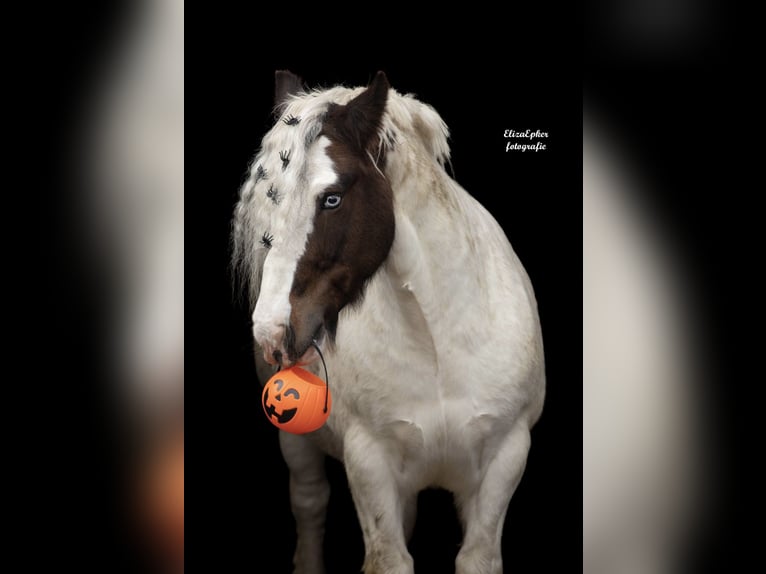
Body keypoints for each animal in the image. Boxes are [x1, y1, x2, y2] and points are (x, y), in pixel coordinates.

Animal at [231, 70, 545, 574]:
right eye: (266, 203)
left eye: (332, 198)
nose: (272, 333)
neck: (439, 343)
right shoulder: (369, 464)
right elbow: (387, 557)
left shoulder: (505, 457)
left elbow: (477, 556)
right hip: (296, 441)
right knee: (309, 502)